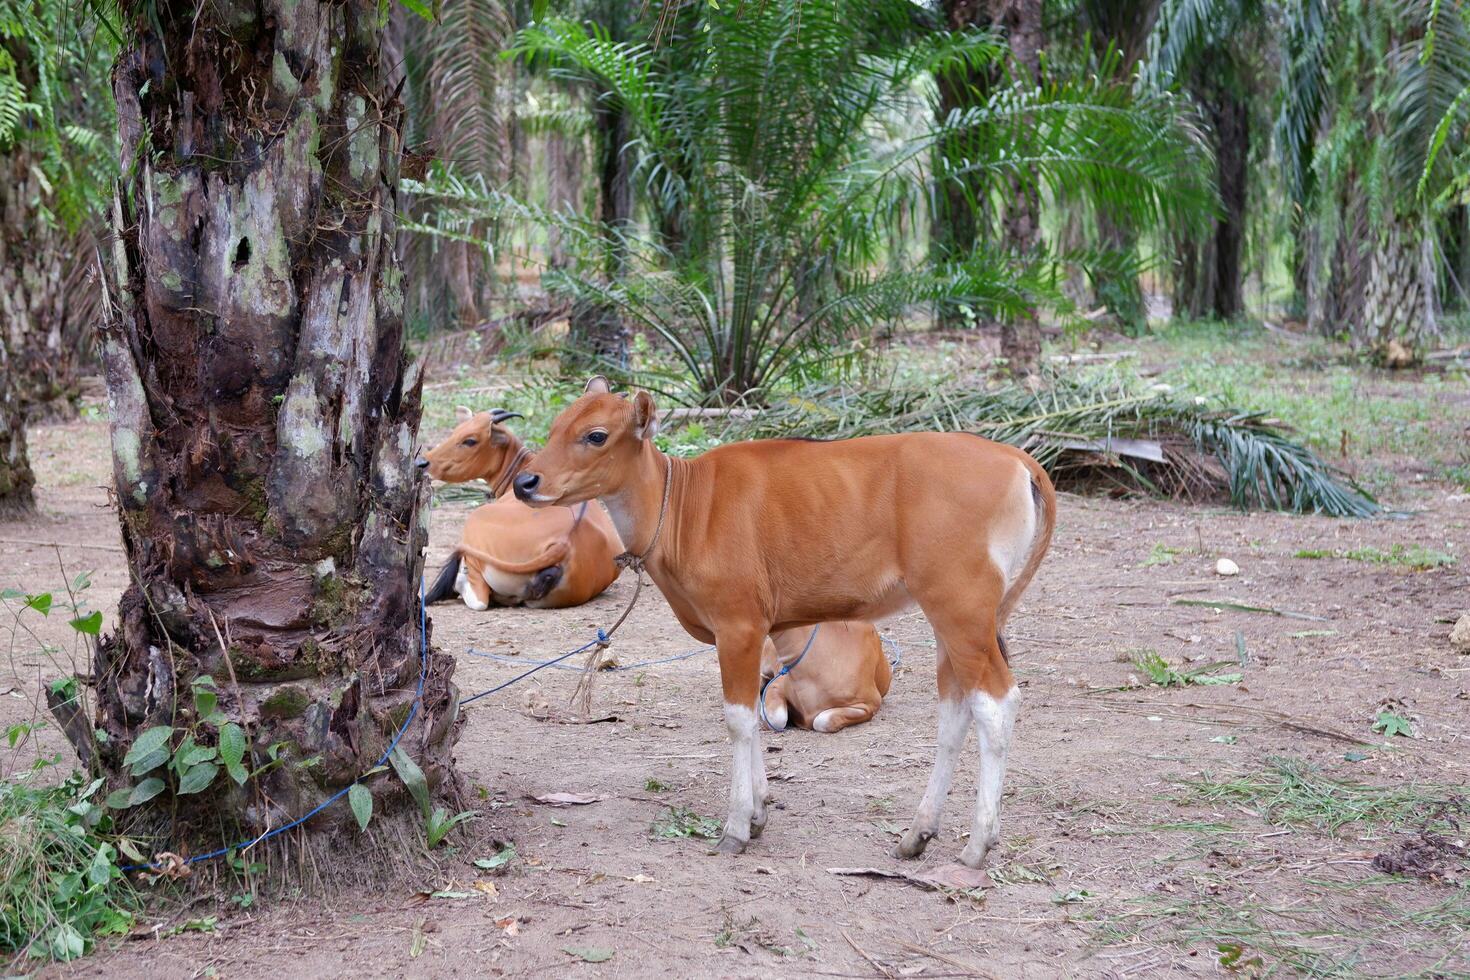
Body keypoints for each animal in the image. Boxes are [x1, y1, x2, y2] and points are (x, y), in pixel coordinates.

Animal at [417, 408, 623, 608]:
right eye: (455, 432)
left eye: (470, 440)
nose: (423, 462)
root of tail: (563, 543)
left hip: (473, 527)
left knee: (479, 599)